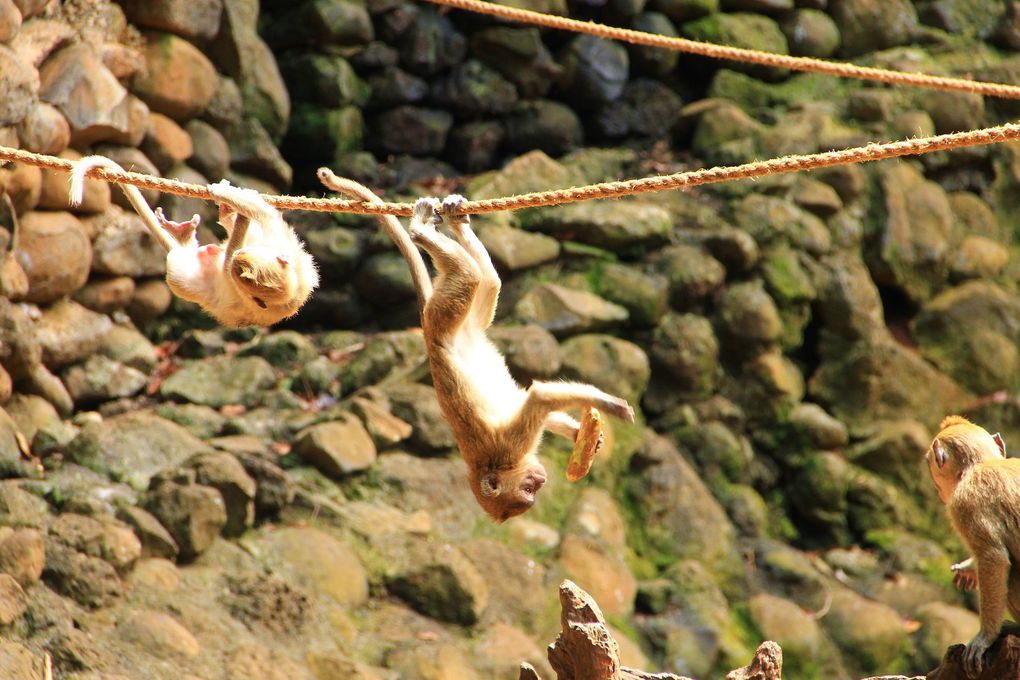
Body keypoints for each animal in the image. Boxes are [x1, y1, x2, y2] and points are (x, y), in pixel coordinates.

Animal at [314, 170, 632, 521]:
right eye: (528, 492)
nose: (539, 481)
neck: (495, 465)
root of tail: (428, 334)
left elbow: (532, 399)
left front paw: (592, 427)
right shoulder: (508, 445)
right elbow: (538, 399)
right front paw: (600, 414)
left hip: (452, 321)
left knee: (480, 279)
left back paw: (441, 225)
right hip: (448, 319)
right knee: (475, 278)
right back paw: (430, 230)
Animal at [930, 415, 1015, 676]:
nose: (938, 489)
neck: (983, 463)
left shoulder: (965, 503)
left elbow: (993, 557)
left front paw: (985, 637)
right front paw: (968, 569)